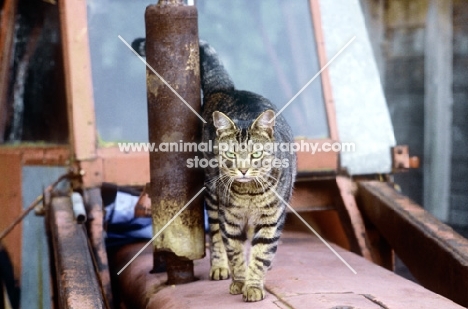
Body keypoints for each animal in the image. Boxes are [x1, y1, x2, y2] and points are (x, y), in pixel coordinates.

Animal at [198, 41, 296, 300]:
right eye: (231, 155)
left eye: (255, 155)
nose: (242, 170)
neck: (249, 193)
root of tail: (228, 89)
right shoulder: (229, 219)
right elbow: (234, 251)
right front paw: (240, 282)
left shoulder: (270, 219)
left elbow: (260, 255)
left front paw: (253, 286)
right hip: (212, 197)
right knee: (215, 235)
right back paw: (219, 267)